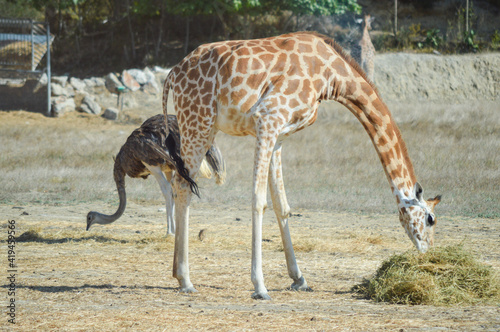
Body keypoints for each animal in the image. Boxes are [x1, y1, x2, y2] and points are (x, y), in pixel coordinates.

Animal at [162, 31, 440, 300]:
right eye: (430, 219)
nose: (427, 251)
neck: (332, 76)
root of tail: (173, 74)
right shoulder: (268, 117)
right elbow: (258, 200)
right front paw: (260, 286)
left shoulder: (279, 136)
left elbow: (281, 205)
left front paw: (299, 279)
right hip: (198, 121)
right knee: (183, 185)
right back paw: (186, 280)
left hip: (202, 126)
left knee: (178, 183)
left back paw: (177, 274)